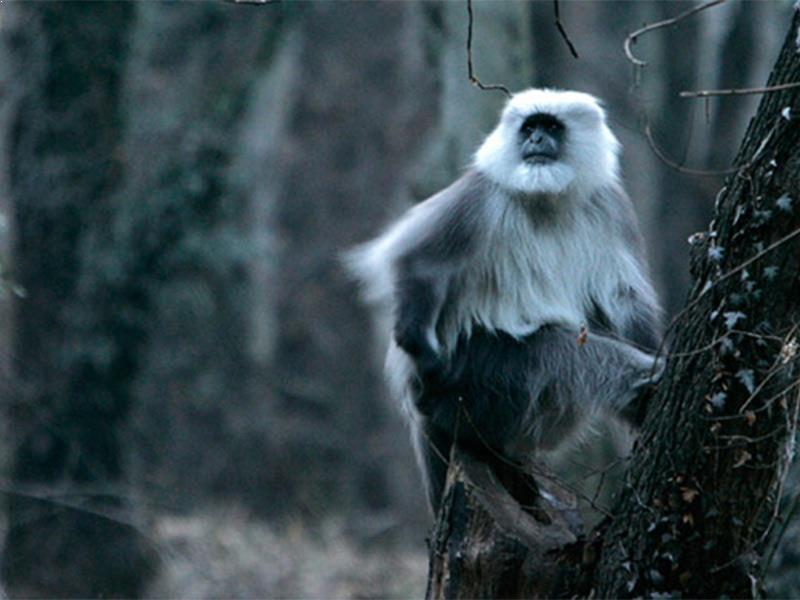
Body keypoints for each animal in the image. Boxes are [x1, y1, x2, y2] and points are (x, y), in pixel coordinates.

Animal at [346, 86, 664, 512]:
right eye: (530, 127)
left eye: (551, 127)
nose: (536, 140)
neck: (547, 198)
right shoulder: (480, 198)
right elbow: (417, 262)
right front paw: (422, 350)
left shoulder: (609, 205)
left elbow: (622, 299)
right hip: (471, 384)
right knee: (560, 353)